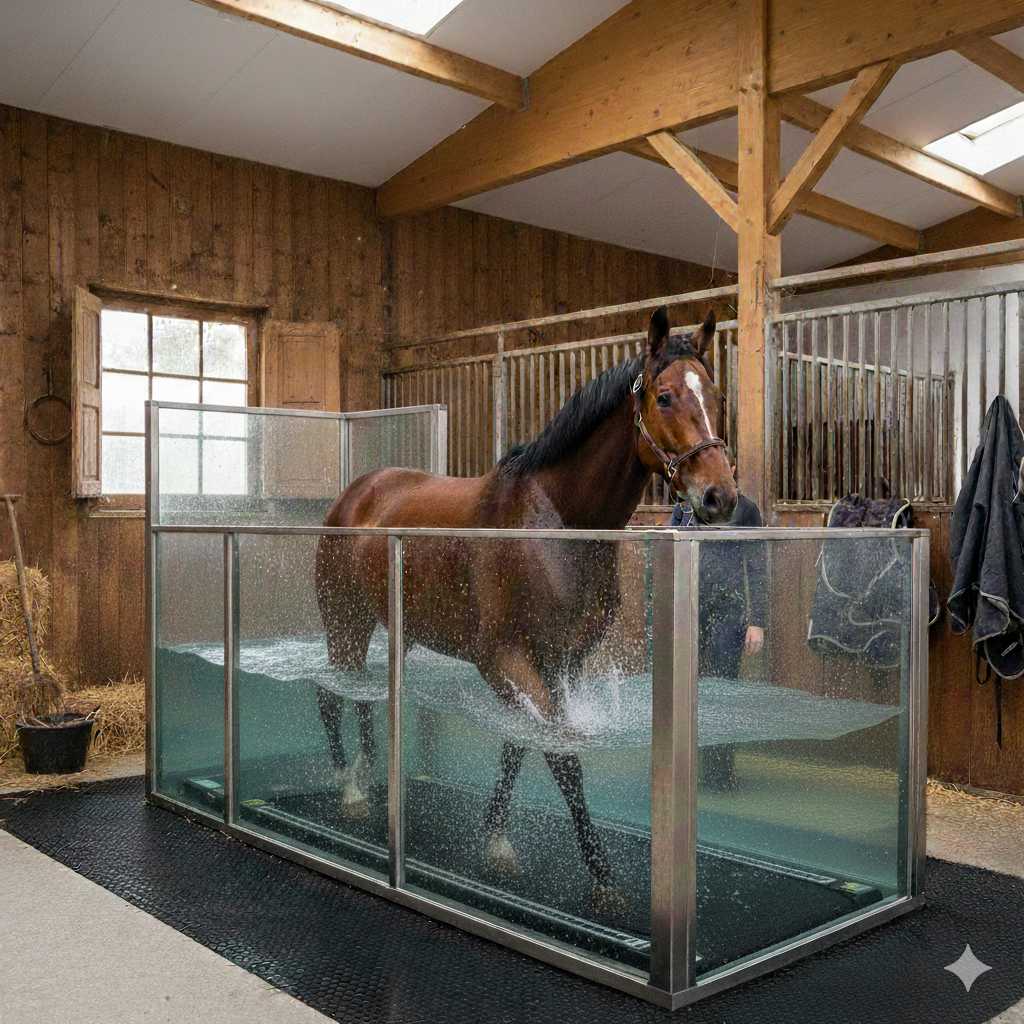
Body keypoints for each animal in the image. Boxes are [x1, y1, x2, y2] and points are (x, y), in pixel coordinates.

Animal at [314, 306, 737, 907]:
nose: (719, 496)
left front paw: (495, 838)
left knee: (364, 696)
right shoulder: (506, 661)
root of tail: (357, 493)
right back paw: (350, 788)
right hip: (342, 619)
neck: (555, 523)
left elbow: (521, 745)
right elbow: (561, 756)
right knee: (333, 694)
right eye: (664, 397)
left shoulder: (561, 662)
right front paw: (602, 878)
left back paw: (369, 774)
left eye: (715, 395)